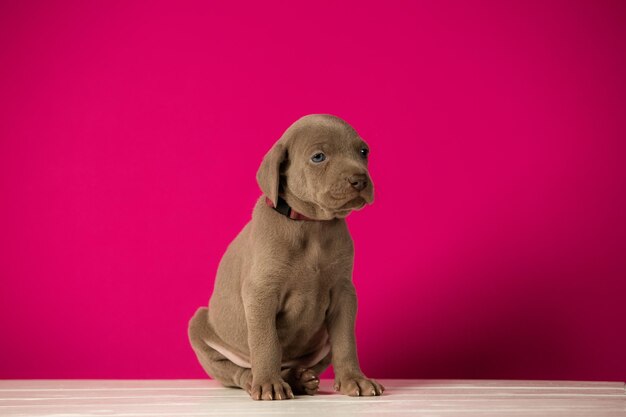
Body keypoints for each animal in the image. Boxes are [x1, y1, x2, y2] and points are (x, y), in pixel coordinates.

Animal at [186, 114, 380, 400]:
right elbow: (266, 343)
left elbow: (345, 341)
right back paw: (262, 379)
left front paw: (354, 379)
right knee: (237, 371)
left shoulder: (344, 293)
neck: (311, 225)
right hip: (199, 325)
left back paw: (299, 378)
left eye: (363, 152)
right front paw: (268, 383)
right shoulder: (261, 293)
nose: (360, 180)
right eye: (319, 157)